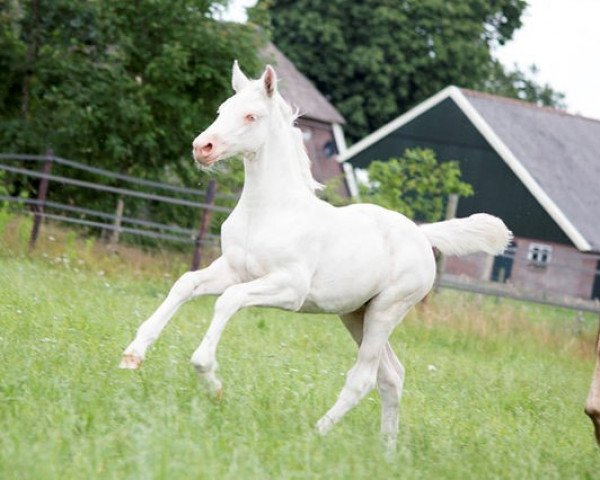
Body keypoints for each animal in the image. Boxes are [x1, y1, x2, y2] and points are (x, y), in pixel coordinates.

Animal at [120, 62, 510, 448]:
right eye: (221, 110)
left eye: (251, 115)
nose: (203, 147)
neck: (268, 211)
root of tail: (422, 233)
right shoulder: (232, 269)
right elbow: (185, 284)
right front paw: (133, 355)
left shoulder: (289, 288)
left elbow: (229, 300)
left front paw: (210, 379)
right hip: (356, 314)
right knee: (392, 376)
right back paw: (387, 450)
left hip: (386, 311)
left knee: (364, 377)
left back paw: (317, 433)